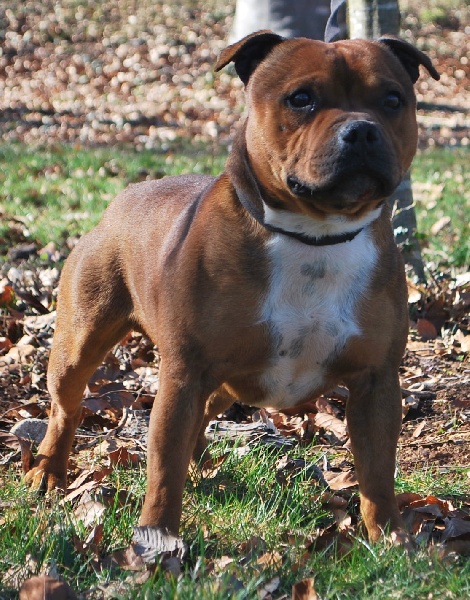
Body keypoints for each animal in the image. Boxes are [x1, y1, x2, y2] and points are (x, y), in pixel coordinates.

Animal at [25, 31, 439, 542]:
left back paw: (201, 463)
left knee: (205, 412)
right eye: (301, 99)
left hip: (229, 376)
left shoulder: (377, 382)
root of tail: (123, 198)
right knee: (66, 407)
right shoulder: (185, 374)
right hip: (82, 340)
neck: (315, 237)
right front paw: (157, 537)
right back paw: (48, 471)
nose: (361, 130)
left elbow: (378, 471)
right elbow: (163, 467)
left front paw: (391, 538)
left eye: (392, 100)